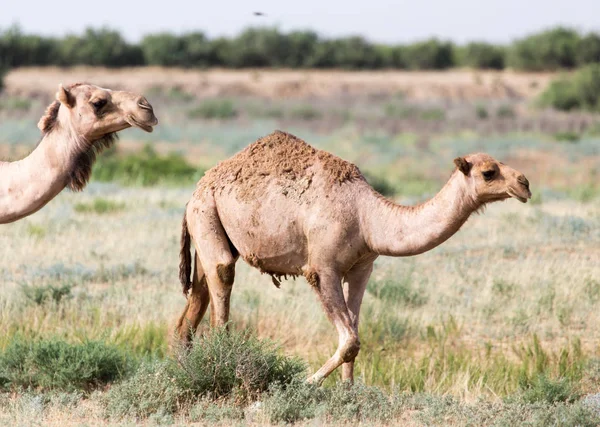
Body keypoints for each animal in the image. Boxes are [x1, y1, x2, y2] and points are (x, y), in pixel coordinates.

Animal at [173, 130, 528, 384]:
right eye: (489, 172)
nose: (524, 183)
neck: (367, 217)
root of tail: (196, 188)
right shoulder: (321, 268)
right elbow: (349, 341)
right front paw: (305, 383)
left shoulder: (361, 268)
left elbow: (356, 336)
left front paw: (348, 392)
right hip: (207, 214)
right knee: (222, 285)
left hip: (206, 233)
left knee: (192, 307)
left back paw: (184, 369)